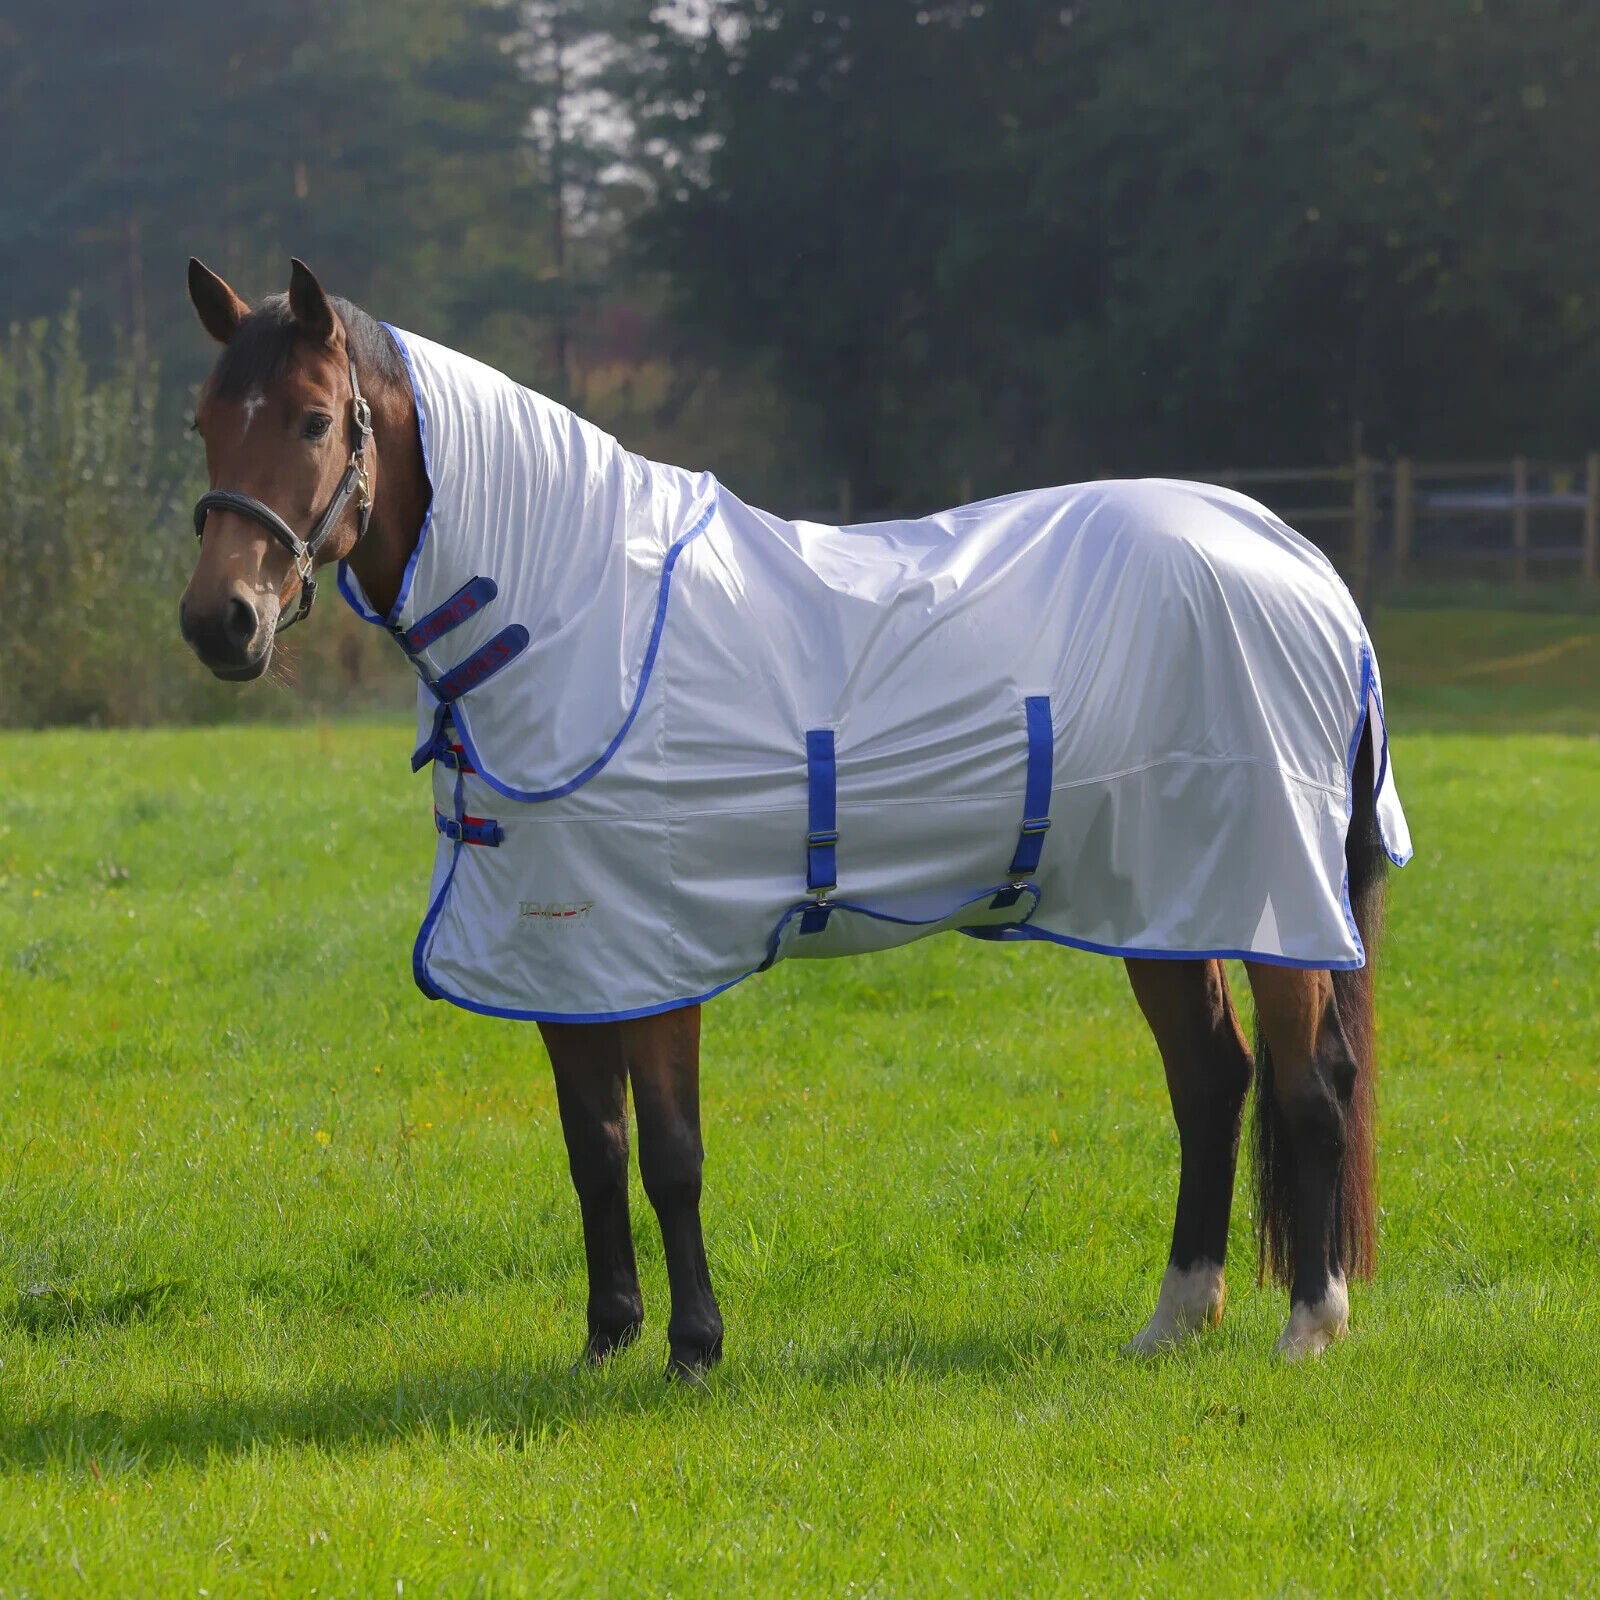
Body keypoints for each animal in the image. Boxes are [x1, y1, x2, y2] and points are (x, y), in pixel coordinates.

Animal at [179, 258, 1410, 1376]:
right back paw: (1175, 1320)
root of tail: (1301, 561)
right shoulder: (565, 957)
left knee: (1312, 1084)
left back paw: (1310, 1324)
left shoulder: (657, 956)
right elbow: (595, 1147)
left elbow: (670, 1153)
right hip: (1164, 903)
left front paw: (693, 1348)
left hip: (1270, 896)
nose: (220, 621)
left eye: (314, 419)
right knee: (1211, 1083)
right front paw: (606, 1338)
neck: (571, 615)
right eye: (204, 422)